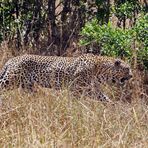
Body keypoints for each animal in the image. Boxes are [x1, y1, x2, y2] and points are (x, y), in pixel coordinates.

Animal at [0, 53, 132, 101]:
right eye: (127, 69)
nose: (131, 76)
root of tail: (11, 60)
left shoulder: (93, 89)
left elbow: (104, 98)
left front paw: (114, 108)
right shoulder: (78, 89)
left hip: (28, 86)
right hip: (10, 80)